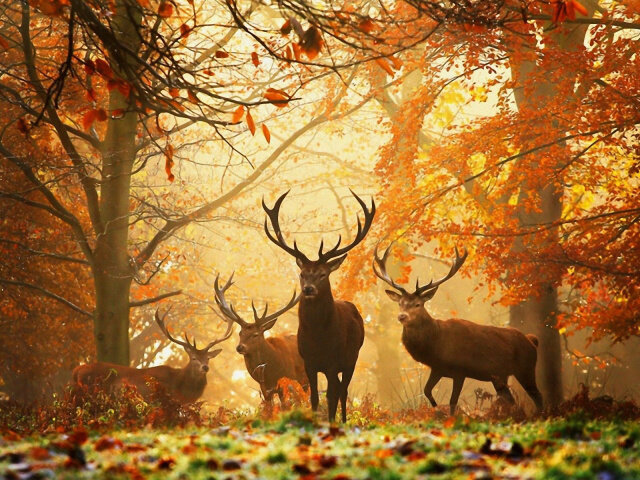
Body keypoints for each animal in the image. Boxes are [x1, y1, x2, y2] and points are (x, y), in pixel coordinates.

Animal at [263, 190, 376, 422]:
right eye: (302, 274)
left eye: (323, 274)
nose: (308, 289)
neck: (318, 337)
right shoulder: (309, 362)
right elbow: (314, 397)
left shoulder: (333, 362)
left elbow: (331, 396)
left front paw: (331, 422)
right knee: (340, 389)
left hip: (352, 357)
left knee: (343, 391)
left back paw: (343, 421)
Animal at [373, 243, 543, 415]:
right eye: (400, 303)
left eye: (417, 304)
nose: (402, 316)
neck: (436, 345)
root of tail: (532, 340)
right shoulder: (437, 368)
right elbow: (427, 391)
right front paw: (436, 409)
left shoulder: (460, 370)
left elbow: (453, 401)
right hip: (500, 376)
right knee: (511, 400)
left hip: (526, 368)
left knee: (538, 396)